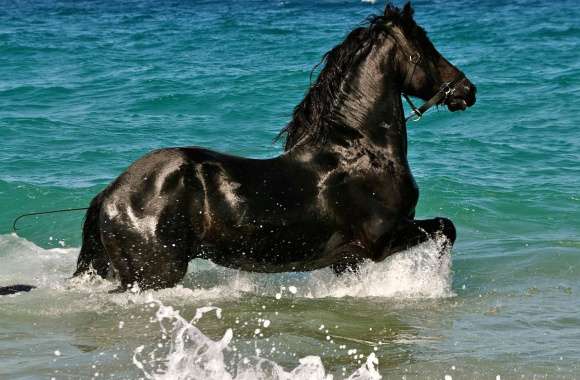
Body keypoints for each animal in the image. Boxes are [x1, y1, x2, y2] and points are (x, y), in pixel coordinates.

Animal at [1, 2, 476, 296]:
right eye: (426, 48)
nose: (467, 90)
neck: (359, 150)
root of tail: (110, 194)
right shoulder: (384, 238)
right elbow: (447, 229)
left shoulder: (350, 259)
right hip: (155, 274)